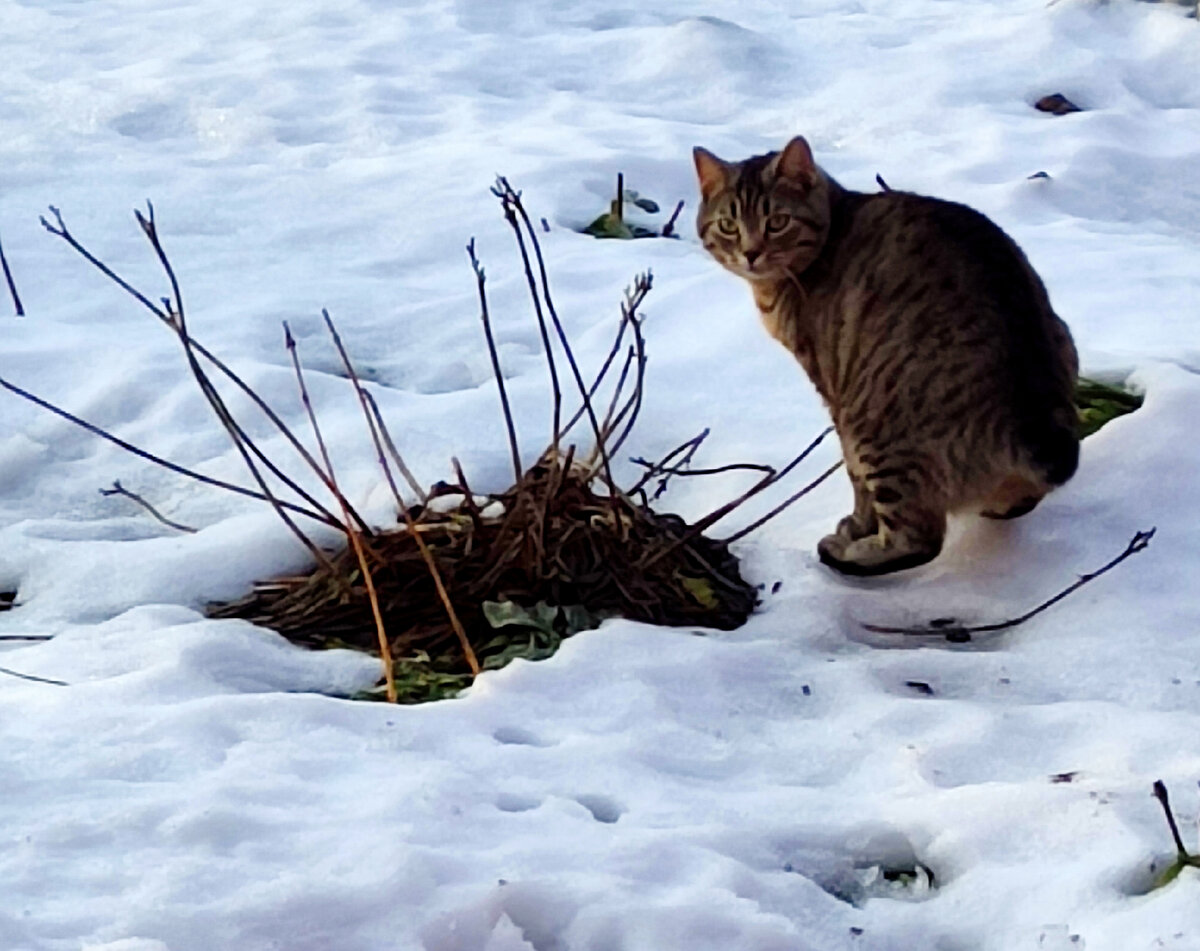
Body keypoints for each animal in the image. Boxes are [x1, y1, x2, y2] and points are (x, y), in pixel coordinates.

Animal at [696, 136, 1080, 576]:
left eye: (777, 221)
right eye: (728, 225)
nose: (751, 252)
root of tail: (1030, 408)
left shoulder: (834, 392)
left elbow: (855, 482)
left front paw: (856, 526)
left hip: (874, 428)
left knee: (919, 539)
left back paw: (848, 555)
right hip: (1063, 339)